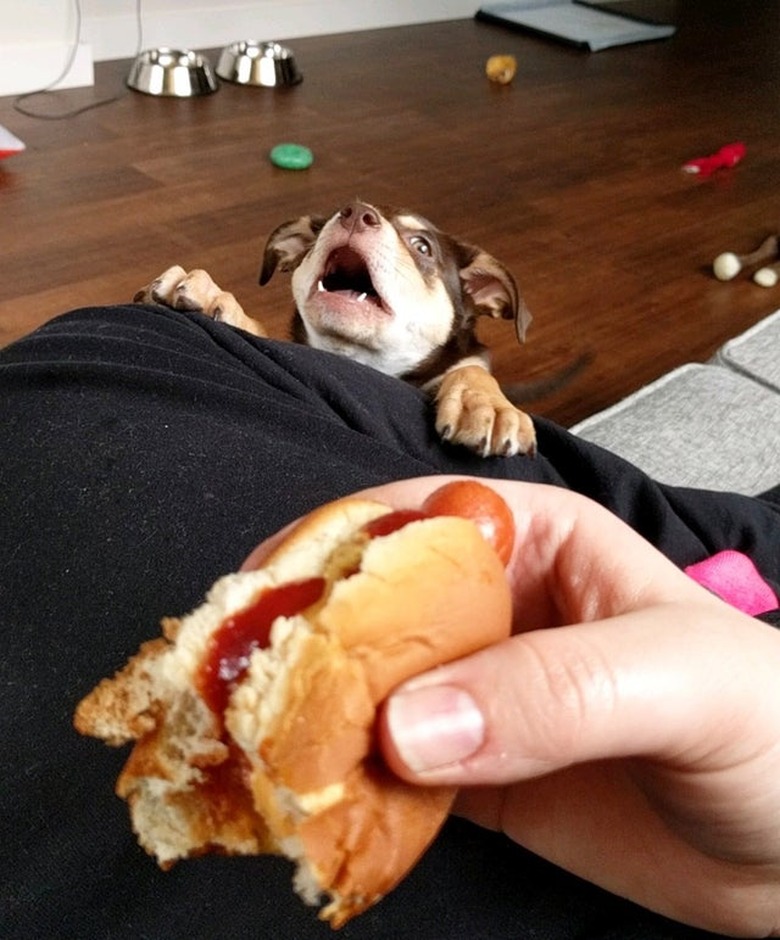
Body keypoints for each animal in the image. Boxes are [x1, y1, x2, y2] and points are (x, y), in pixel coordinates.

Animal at [134, 202, 536, 458]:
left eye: (422, 246)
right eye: (329, 222)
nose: (356, 214)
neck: (355, 357)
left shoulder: (465, 360)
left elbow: (471, 369)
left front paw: (487, 405)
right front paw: (212, 295)